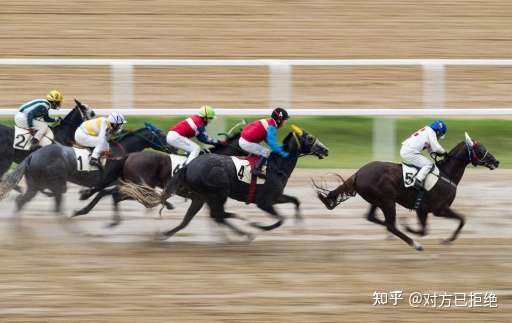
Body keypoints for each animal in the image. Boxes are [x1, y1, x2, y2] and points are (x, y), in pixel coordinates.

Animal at [0, 124, 172, 218]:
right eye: (162, 135)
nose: (172, 147)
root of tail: (32, 156)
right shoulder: (105, 180)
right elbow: (99, 191)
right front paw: (84, 196)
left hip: (36, 182)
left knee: (22, 198)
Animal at [119, 126, 328, 240]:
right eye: (310, 137)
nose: (325, 150)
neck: (276, 166)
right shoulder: (264, 202)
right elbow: (279, 219)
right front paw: (258, 226)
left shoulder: (275, 197)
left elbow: (295, 201)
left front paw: (299, 226)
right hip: (218, 192)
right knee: (217, 215)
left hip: (204, 196)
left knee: (198, 218)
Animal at [314, 133, 498, 252]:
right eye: (480, 149)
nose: (496, 161)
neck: (446, 174)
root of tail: (359, 173)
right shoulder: (438, 209)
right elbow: (461, 219)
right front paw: (446, 240)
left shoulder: (423, 210)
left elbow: (426, 229)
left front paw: (413, 228)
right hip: (387, 200)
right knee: (391, 224)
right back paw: (415, 244)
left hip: (377, 200)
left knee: (374, 218)